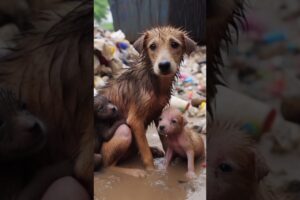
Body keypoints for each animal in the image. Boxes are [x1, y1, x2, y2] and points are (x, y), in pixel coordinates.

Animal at [101, 26, 197, 170]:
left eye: (174, 44)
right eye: (152, 46)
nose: (164, 65)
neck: (154, 81)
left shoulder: (160, 114)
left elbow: (166, 141)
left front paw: (169, 165)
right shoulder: (135, 120)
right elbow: (146, 155)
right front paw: (152, 171)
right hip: (123, 133)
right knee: (110, 166)